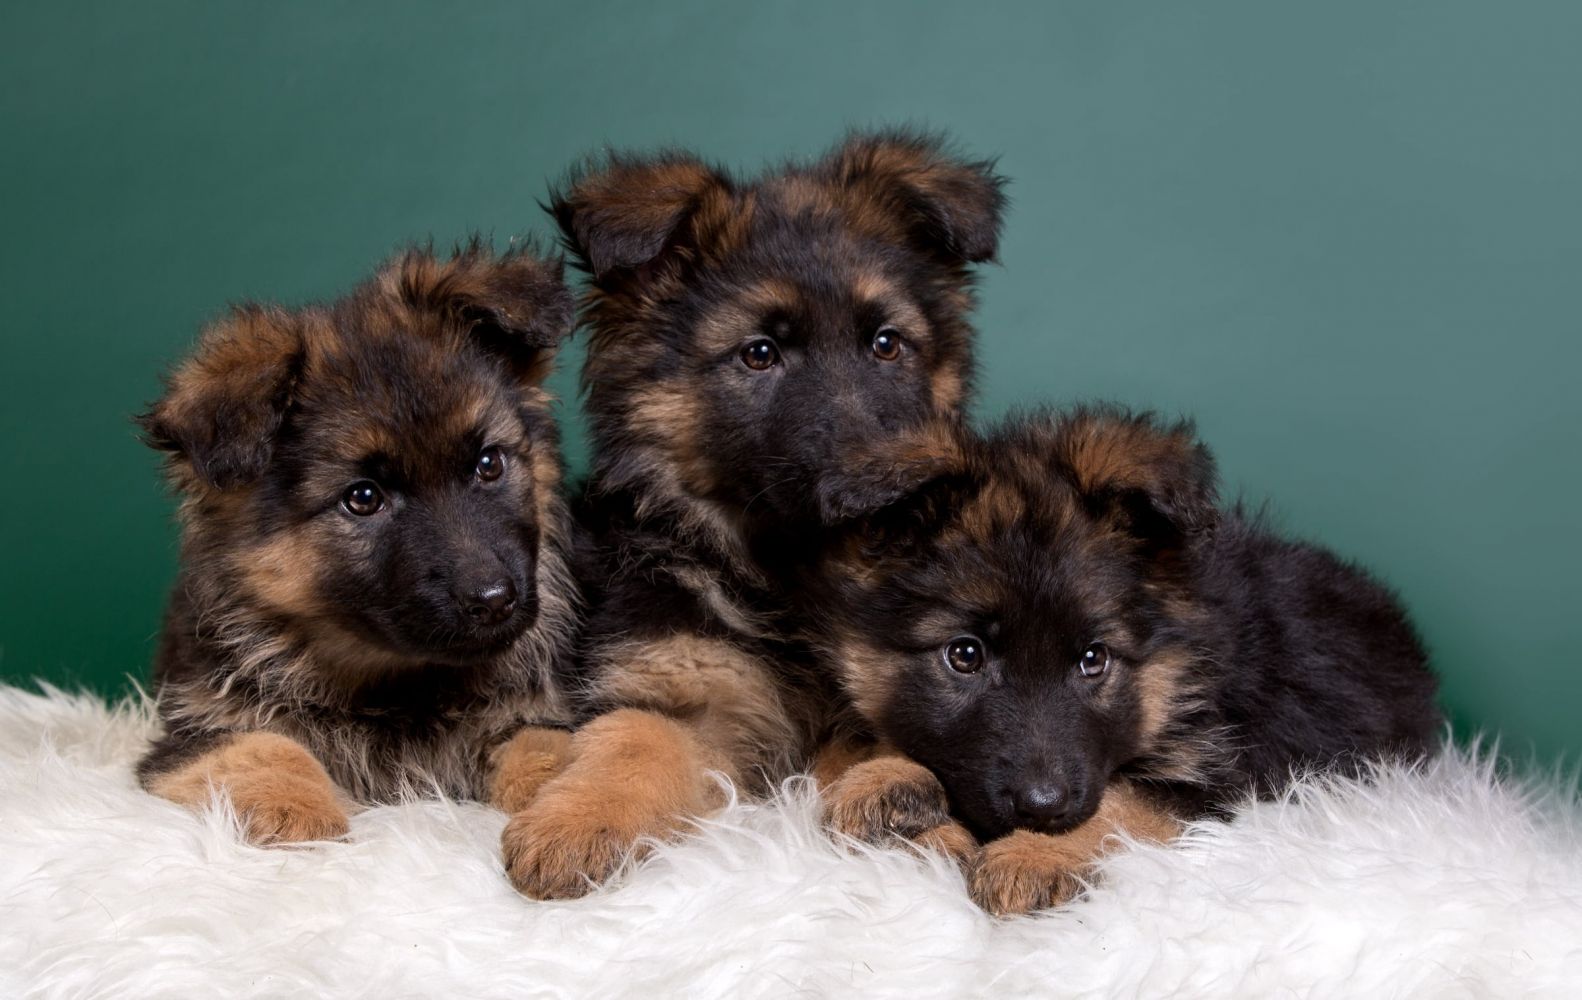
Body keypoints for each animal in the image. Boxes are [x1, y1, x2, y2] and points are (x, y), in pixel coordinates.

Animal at [136, 242, 583, 843]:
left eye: (489, 463)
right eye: (363, 497)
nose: (495, 601)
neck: (396, 686)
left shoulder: (530, 714)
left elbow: (548, 748)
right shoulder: (192, 739)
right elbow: (265, 749)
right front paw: (302, 819)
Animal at [497, 130, 1007, 898]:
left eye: (887, 343)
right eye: (759, 355)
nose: (887, 490)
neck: (788, 585)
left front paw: (910, 816)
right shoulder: (678, 691)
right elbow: (633, 744)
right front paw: (575, 824)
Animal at [810, 407, 1442, 914]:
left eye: (1095, 659)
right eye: (964, 655)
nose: (1041, 810)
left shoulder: (1218, 774)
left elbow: (1124, 803)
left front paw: (1036, 856)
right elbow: (844, 743)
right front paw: (887, 782)